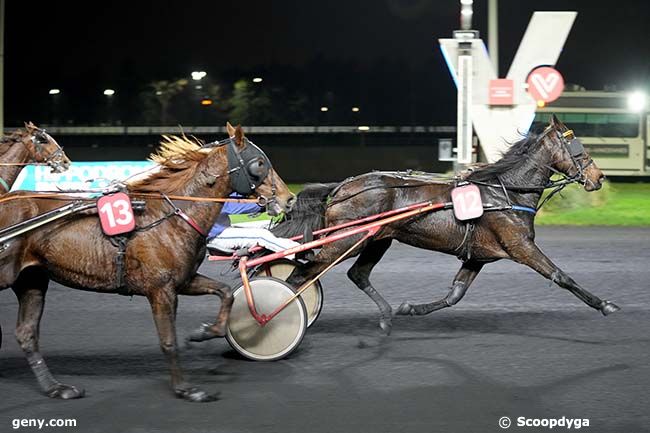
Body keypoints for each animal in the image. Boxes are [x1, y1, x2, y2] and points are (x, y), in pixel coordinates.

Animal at [0, 124, 294, 402]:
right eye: (259, 163)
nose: (288, 199)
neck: (172, 215)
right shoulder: (161, 290)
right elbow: (168, 340)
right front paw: (186, 389)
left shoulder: (182, 280)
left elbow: (225, 293)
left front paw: (204, 332)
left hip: (32, 280)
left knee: (26, 334)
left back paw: (57, 388)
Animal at [274, 115, 616, 334]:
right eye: (578, 147)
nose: (599, 177)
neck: (504, 191)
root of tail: (342, 187)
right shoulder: (521, 246)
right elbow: (561, 276)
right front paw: (604, 305)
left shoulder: (478, 256)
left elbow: (455, 295)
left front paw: (409, 308)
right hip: (344, 239)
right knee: (301, 274)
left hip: (377, 239)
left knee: (356, 274)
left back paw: (386, 316)